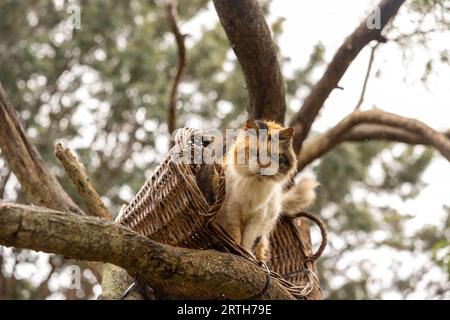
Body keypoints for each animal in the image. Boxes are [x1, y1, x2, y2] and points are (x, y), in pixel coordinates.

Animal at [215, 119, 316, 262]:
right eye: (256, 153)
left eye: (273, 157)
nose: (262, 166)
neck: (255, 185)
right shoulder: (230, 212)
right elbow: (235, 236)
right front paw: (235, 250)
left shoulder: (258, 219)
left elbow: (247, 240)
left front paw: (246, 255)